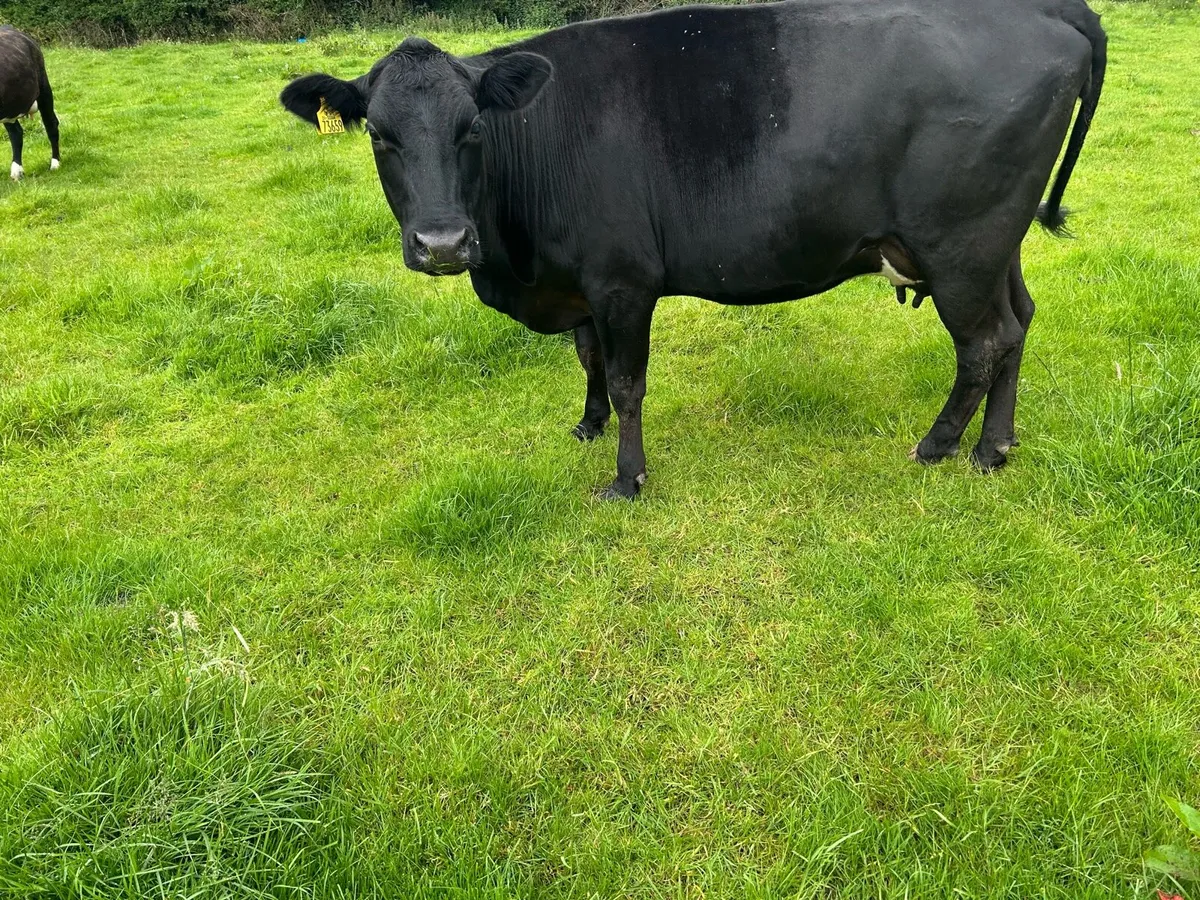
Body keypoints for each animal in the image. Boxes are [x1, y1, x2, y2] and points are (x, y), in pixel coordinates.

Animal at [1, 25, 60, 181]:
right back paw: (17, 171)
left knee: (51, 124)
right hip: (11, 105)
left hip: (44, 89)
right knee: (16, 133)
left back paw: (55, 164)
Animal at [280, 0, 1106, 499]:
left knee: (982, 344)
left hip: (960, 245)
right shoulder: (582, 283)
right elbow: (587, 359)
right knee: (1019, 324)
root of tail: (1043, 10)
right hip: (996, 243)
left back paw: (939, 445)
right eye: (379, 135)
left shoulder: (623, 281)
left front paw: (626, 477)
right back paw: (995, 446)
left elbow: (626, 380)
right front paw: (586, 426)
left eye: (472, 128)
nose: (443, 242)